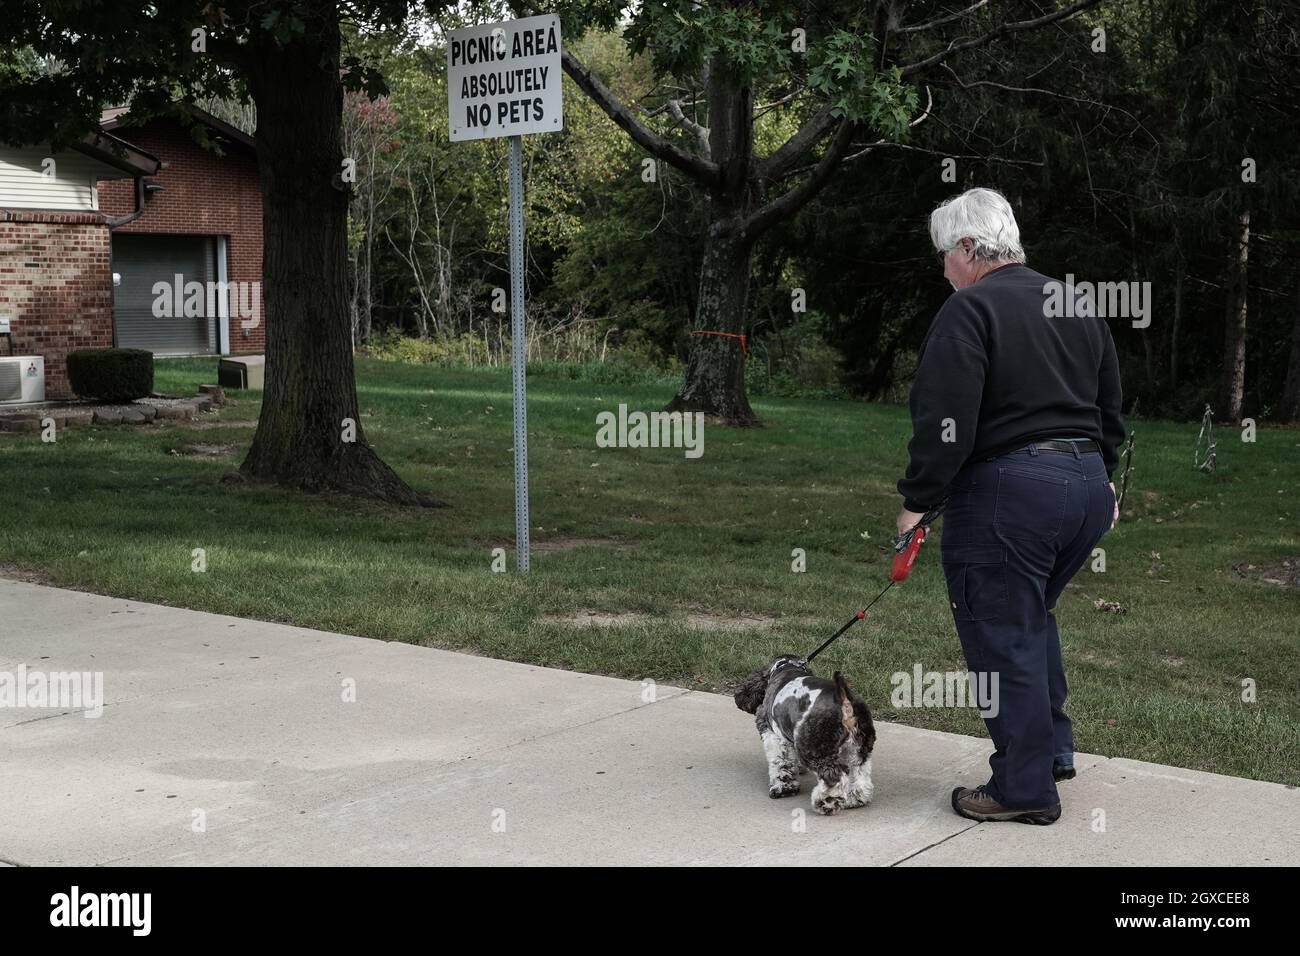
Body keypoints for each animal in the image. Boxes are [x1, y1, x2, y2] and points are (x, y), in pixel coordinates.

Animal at [738, 658, 878, 816]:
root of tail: (845, 703)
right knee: (860, 778)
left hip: (814, 750)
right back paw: (853, 800)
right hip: (859, 750)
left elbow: (780, 763)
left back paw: (826, 803)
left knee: (834, 778)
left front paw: (783, 788)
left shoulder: (773, 735)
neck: (786, 667)